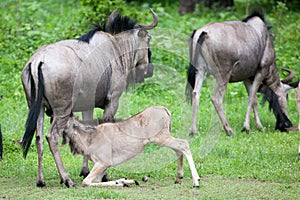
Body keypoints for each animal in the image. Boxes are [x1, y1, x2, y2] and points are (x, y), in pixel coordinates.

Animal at [62, 106, 202, 188]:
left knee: (183, 144)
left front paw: (122, 182)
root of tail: (165, 110)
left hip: (161, 138)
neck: (90, 137)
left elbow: (86, 182)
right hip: (165, 138)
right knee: (178, 149)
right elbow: (96, 181)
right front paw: (125, 181)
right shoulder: (101, 166)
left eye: (67, 121)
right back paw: (179, 178)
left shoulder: (103, 163)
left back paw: (196, 182)